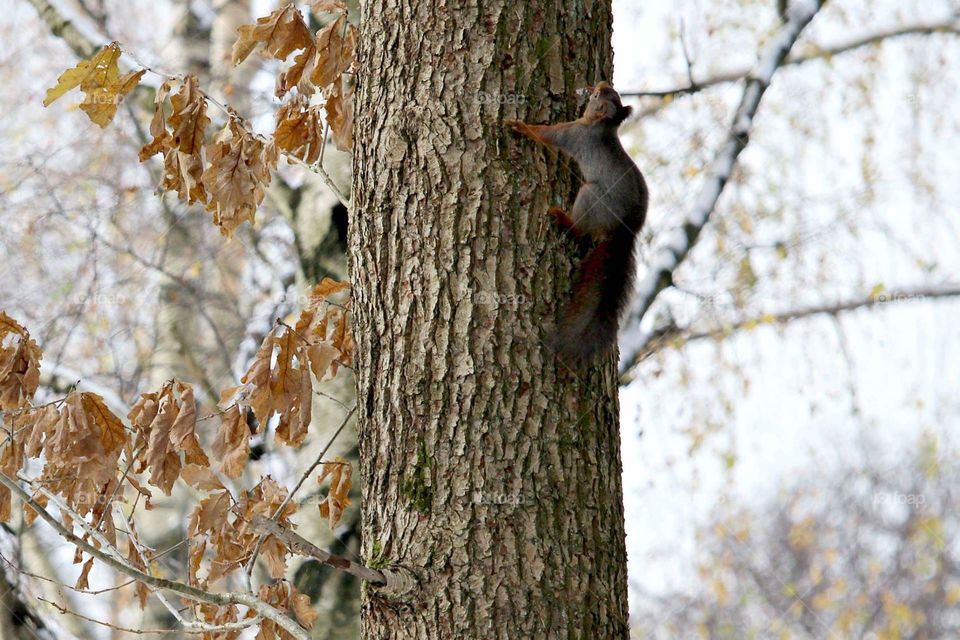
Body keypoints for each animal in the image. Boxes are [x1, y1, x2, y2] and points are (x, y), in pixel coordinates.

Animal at [506, 82, 647, 364]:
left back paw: (563, 219)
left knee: (580, 229)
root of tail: (626, 230)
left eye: (597, 96)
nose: (601, 83)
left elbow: (546, 135)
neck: (600, 126)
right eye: (609, 92)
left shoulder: (573, 134)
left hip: (590, 197)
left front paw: (519, 126)